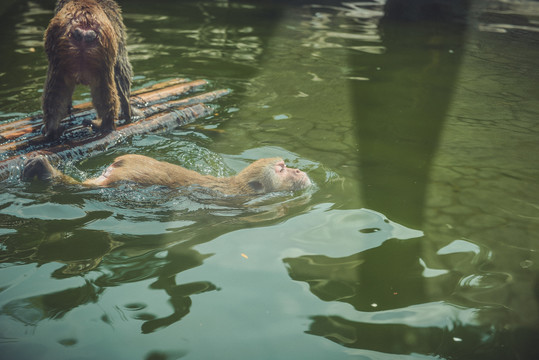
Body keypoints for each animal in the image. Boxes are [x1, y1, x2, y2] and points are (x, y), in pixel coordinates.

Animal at [41, 0, 133, 139]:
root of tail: (83, 30)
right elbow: (121, 67)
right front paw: (128, 111)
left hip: (60, 53)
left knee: (55, 92)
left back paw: (52, 128)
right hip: (101, 51)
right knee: (104, 88)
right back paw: (105, 123)